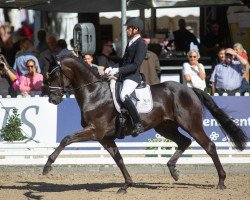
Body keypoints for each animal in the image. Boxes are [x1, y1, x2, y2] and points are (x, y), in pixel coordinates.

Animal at [42, 55, 246, 193]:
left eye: (53, 76)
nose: (52, 99)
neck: (94, 93)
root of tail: (189, 89)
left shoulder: (94, 131)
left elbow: (66, 139)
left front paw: (47, 166)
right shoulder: (105, 137)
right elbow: (118, 159)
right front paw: (126, 185)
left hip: (191, 124)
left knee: (209, 146)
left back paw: (221, 182)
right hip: (164, 127)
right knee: (184, 142)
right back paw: (173, 171)